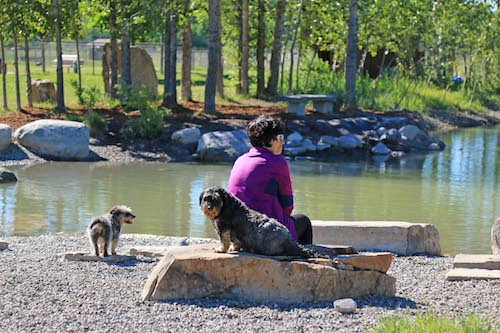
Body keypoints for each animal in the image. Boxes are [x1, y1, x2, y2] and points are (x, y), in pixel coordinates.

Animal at [199, 185, 328, 258]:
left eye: (216, 199)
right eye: (206, 198)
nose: (209, 207)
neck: (225, 205)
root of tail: (289, 241)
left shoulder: (224, 228)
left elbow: (224, 241)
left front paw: (221, 249)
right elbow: (234, 242)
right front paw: (233, 248)